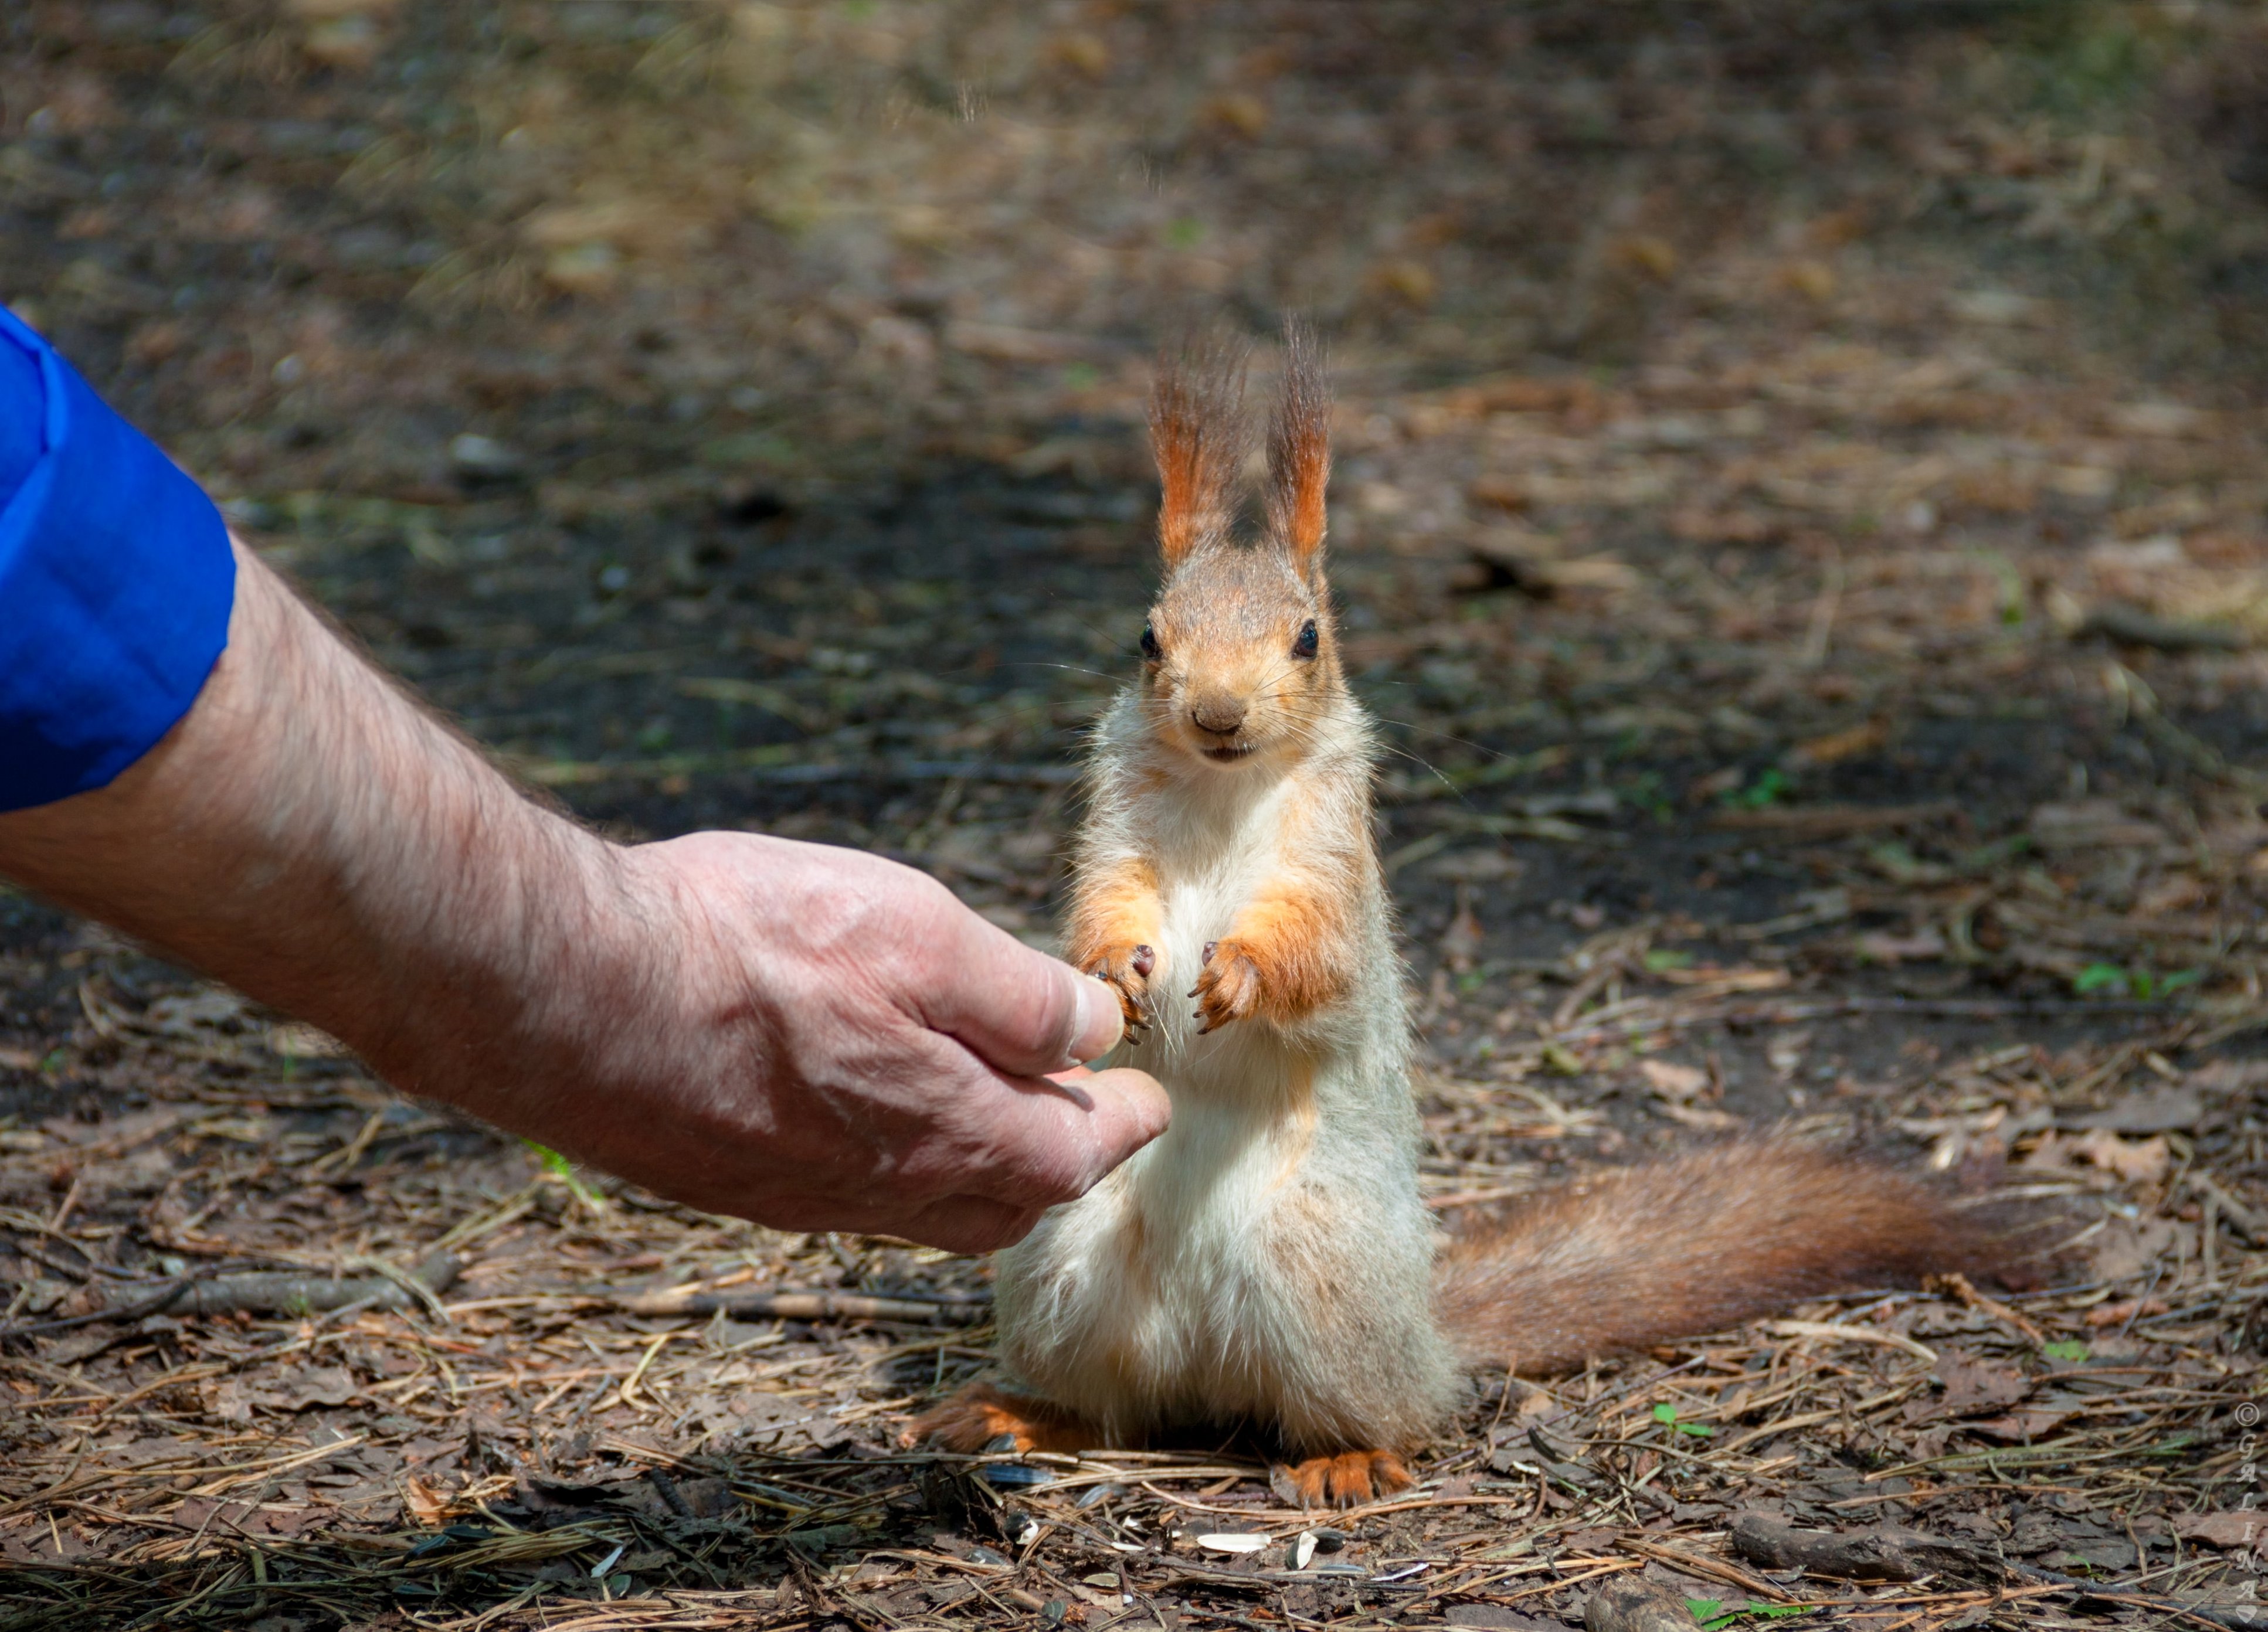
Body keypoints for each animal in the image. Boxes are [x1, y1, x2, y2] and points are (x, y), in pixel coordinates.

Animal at [902, 324, 2005, 1514]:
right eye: (1146, 638)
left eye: (1308, 637)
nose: (1217, 714)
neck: (1219, 794)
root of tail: (1425, 1338)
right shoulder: (1117, 837)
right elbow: (1104, 905)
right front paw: (1117, 971)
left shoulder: (1332, 866)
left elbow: (1318, 952)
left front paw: (1236, 975)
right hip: (1064, 1249)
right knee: (1113, 1408)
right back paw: (1014, 1410)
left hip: (1316, 1264)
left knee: (1383, 1413)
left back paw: (1347, 1455)